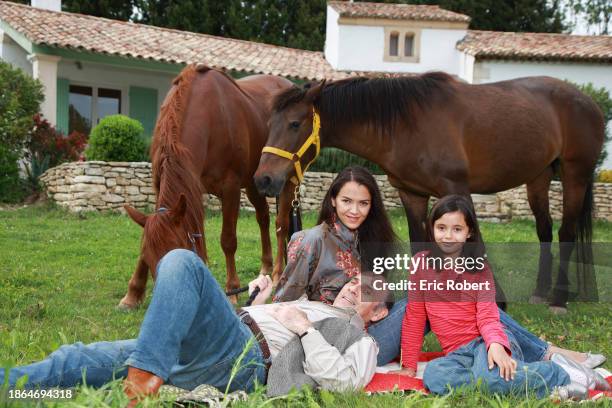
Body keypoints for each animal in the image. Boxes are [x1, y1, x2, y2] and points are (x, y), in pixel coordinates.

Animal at [118, 63, 296, 310]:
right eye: (152, 258)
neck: (208, 115)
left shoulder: (230, 188)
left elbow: (228, 240)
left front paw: (232, 290)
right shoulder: (167, 186)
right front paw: (133, 293)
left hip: (285, 178)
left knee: (281, 224)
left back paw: (278, 273)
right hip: (255, 181)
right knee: (263, 217)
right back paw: (266, 267)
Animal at [252, 72, 604, 312]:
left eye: (295, 124)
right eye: (269, 124)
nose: (264, 179)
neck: (406, 125)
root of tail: (588, 102)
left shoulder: (456, 189)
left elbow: (477, 246)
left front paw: (498, 300)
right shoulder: (412, 194)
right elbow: (419, 242)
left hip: (575, 175)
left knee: (566, 231)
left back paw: (558, 298)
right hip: (538, 178)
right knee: (544, 231)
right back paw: (541, 291)